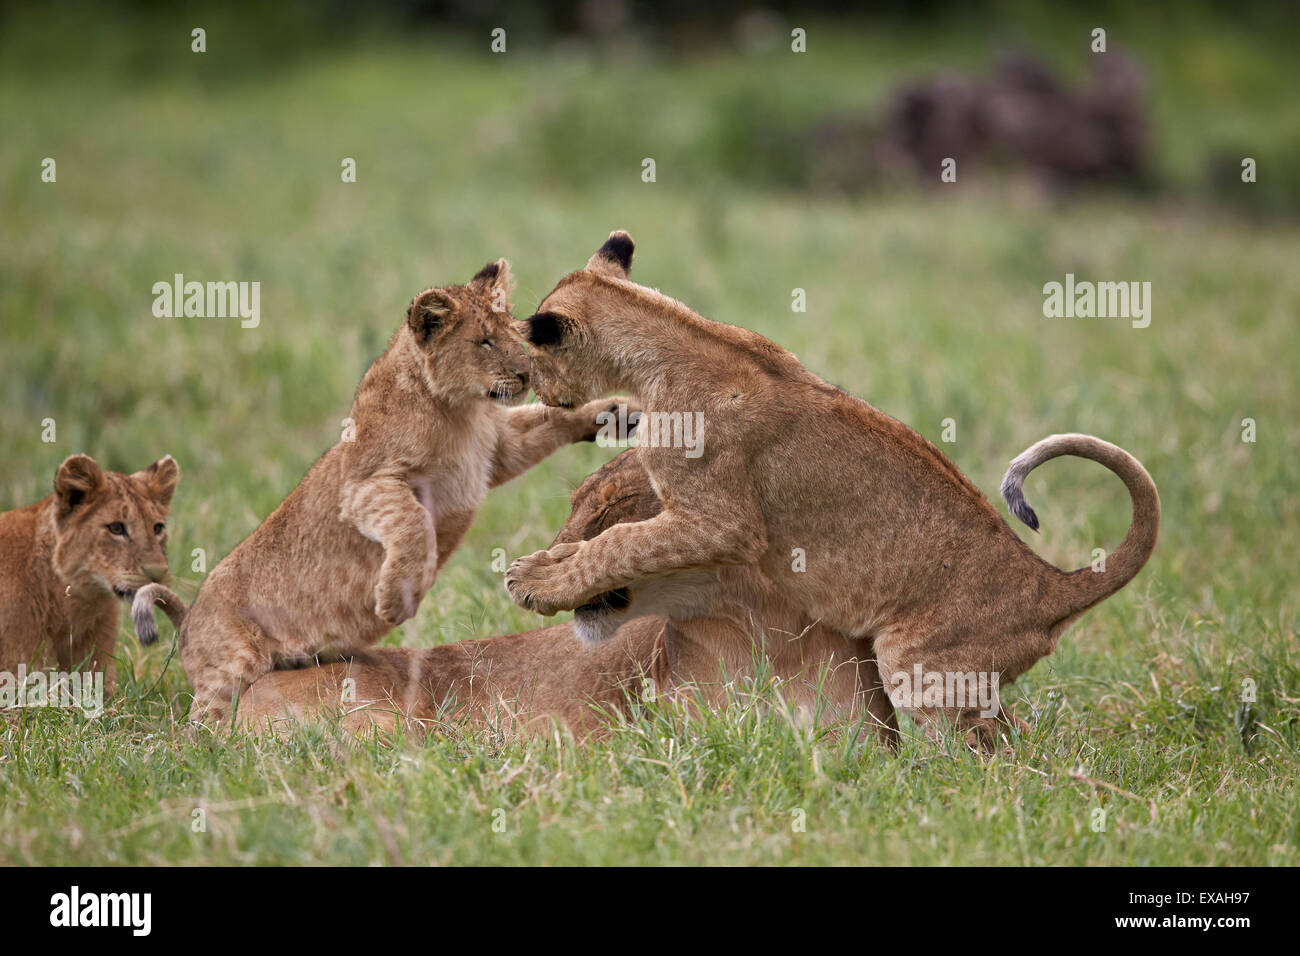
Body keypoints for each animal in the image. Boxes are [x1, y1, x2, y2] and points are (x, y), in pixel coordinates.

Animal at [179, 257, 624, 723]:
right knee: (199, 721)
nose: (525, 374)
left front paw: (614, 412)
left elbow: (545, 419)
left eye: (515, 335)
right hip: (230, 665)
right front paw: (396, 599)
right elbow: (413, 523)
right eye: (484, 341)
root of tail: (188, 622)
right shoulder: (367, 484)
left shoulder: (499, 449)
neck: (459, 411)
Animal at [504, 230, 1159, 749]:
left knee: (989, 755)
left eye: (535, 356)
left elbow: (619, 546)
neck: (676, 341)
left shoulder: (719, 521)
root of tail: (1049, 585)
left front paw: (535, 578)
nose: (536, 390)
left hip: (917, 663)